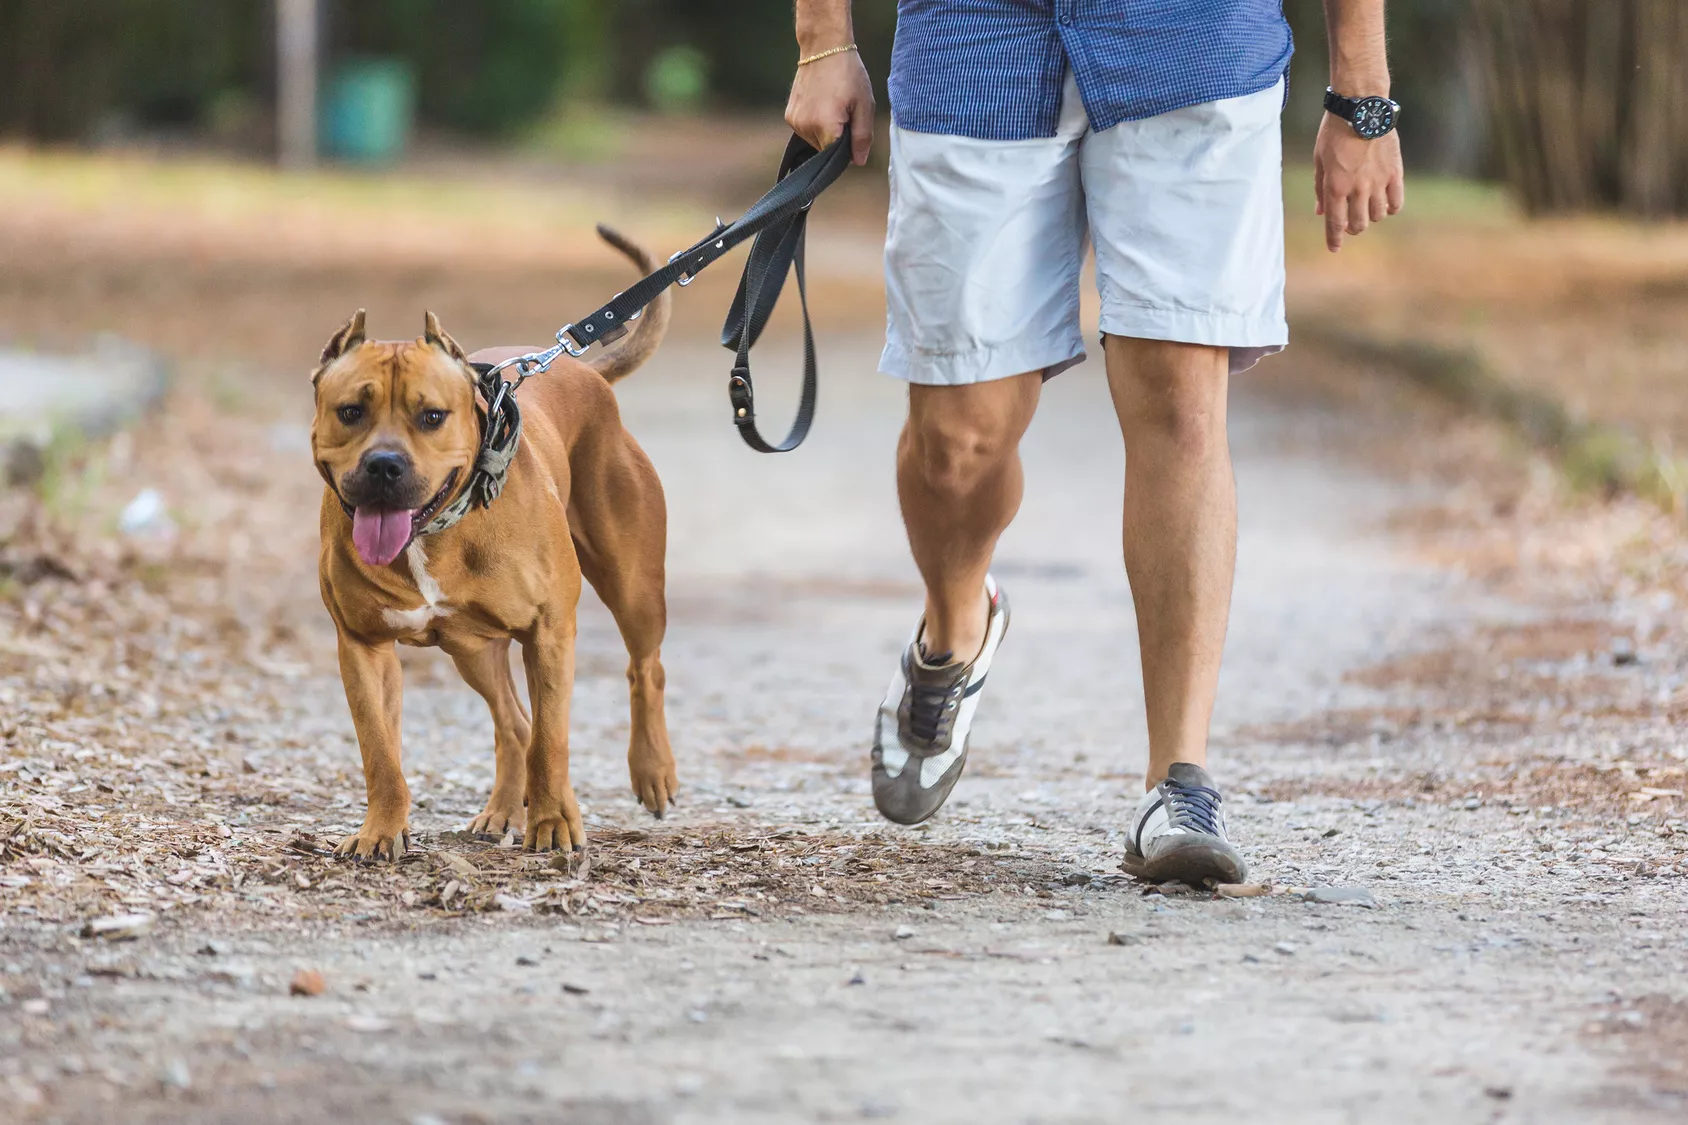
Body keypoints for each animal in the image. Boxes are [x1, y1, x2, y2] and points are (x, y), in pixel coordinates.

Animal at [307, 228, 675, 858]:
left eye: (432, 416)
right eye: (350, 411)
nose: (383, 465)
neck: (434, 533)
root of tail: (587, 374)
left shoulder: (549, 633)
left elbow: (553, 740)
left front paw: (552, 823)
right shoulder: (363, 646)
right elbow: (380, 752)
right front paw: (381, 830)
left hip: (633, 587)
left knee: (643, 669)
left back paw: (651, 771)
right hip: (473, 648)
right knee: (513, 723)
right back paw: (502, 809)